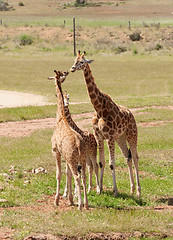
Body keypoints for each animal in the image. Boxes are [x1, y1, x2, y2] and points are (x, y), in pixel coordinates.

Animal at [48, 70, 89, 210]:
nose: (66, 73)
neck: (60, 118)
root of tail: (78, 144)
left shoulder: (55, 151)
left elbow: (59, 174)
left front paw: (56, 201)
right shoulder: (66, 156)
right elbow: (68, 174)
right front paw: (70, 199)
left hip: (72, 158)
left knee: (77, 176)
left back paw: (80, 205)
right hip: (81, 158)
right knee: (83, 176)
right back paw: (86, 204)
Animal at [70, 50, 141, 197]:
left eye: (82, 62)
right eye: (75, 60)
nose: (72, 68)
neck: (99, 109)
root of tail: (131, 114)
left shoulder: (109, 137)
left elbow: (111, 164)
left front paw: (115, 191)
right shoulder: (99, 136)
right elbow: (101, 162)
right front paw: (99, 189)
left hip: (131, 134)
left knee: (136, 157)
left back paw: (138, 191)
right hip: (120, 138)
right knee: (128, 157)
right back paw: (131, 189)